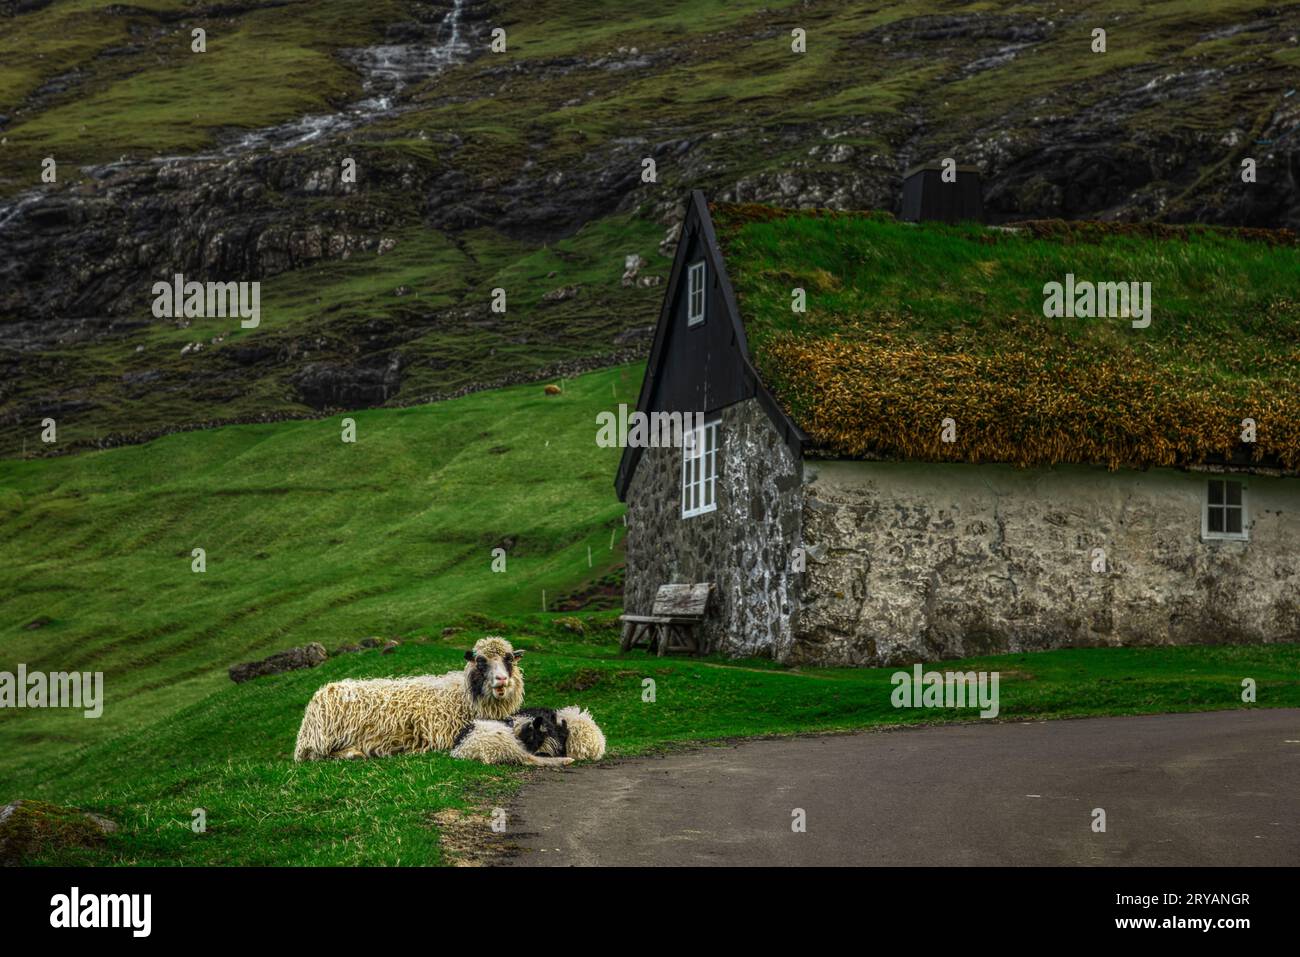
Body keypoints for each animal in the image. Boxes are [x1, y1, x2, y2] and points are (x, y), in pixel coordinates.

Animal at [297, 634, 525, 764]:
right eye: (481, 661)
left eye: (509, 659)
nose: (502, 679)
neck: (462, 696)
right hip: (322, 740)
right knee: (317, 756)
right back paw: (354, 754)